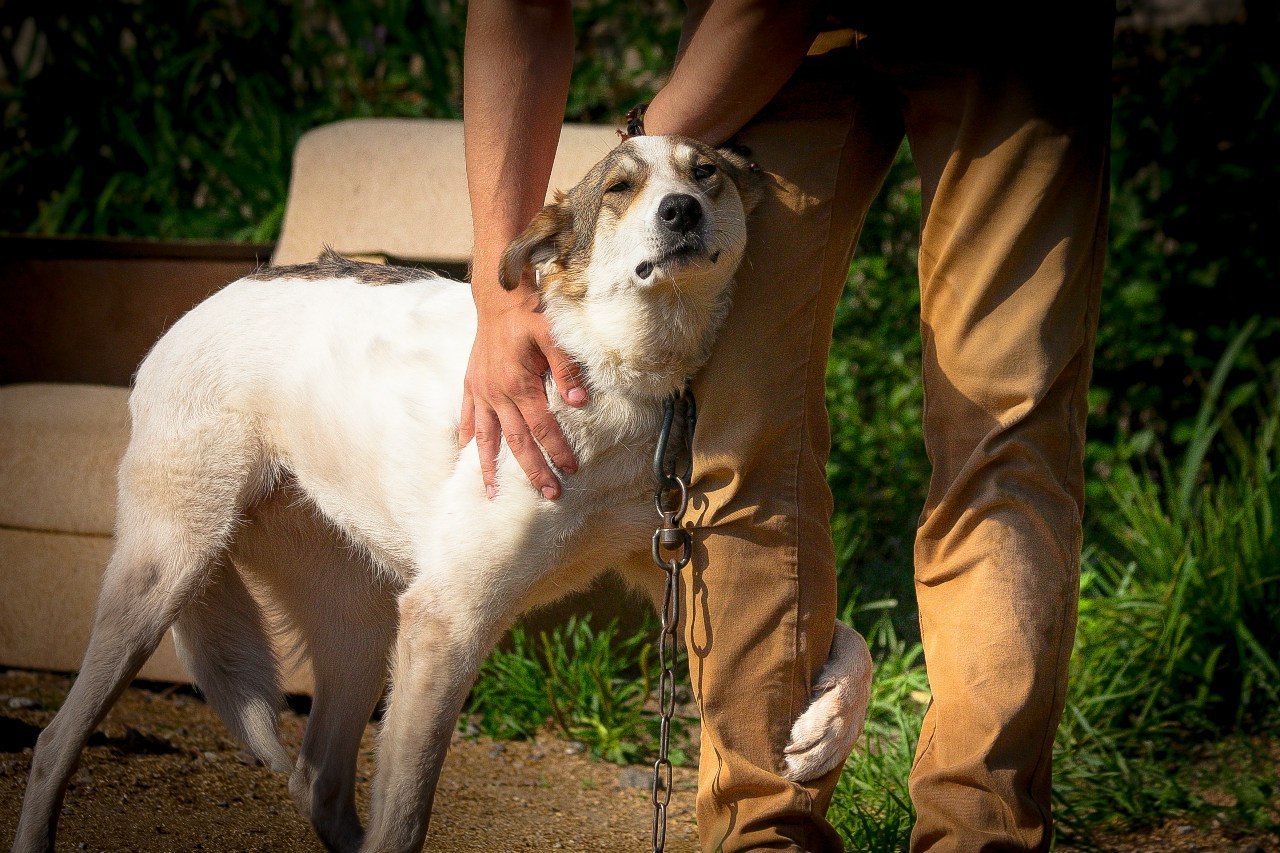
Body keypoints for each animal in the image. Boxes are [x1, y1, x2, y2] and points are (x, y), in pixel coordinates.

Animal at [12, 134, 870, 850]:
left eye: (706, 173)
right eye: (621, 187)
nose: (681, 210)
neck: (616, 371)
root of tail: (205, 304)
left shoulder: (672, 563)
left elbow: (849, 639)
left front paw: (823, 728)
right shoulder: (447, 618)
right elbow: (404, 816)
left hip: (358, 629)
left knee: (316, 781)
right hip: (165, 573)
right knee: (56, 740)